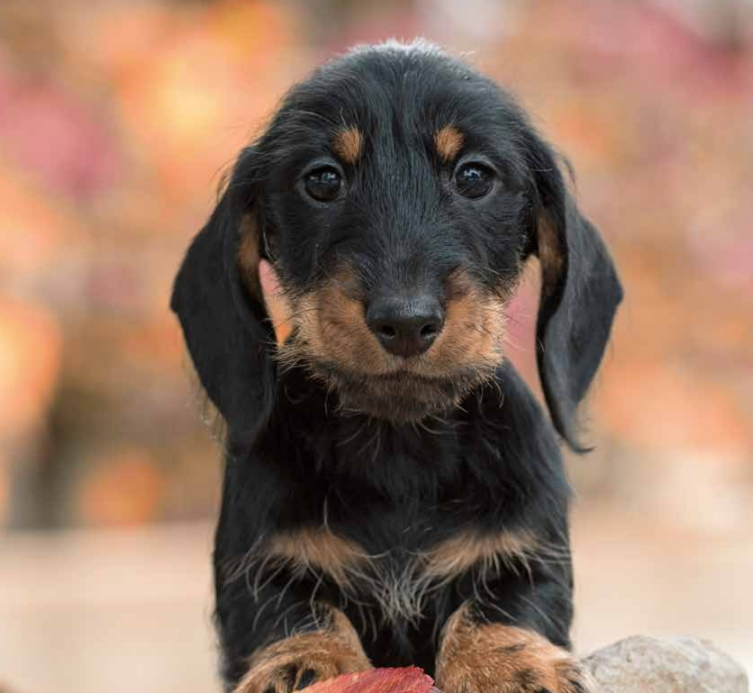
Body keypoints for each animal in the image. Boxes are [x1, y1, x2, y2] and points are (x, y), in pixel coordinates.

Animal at [172, 39, 624, 692]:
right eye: (323, 179)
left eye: (474, 176)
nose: (406, 322)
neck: (399, 444)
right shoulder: (260, 571)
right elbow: (296, 613)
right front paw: (302, 663)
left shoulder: (529, 553)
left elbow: (500, 603)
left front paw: (505, 663)